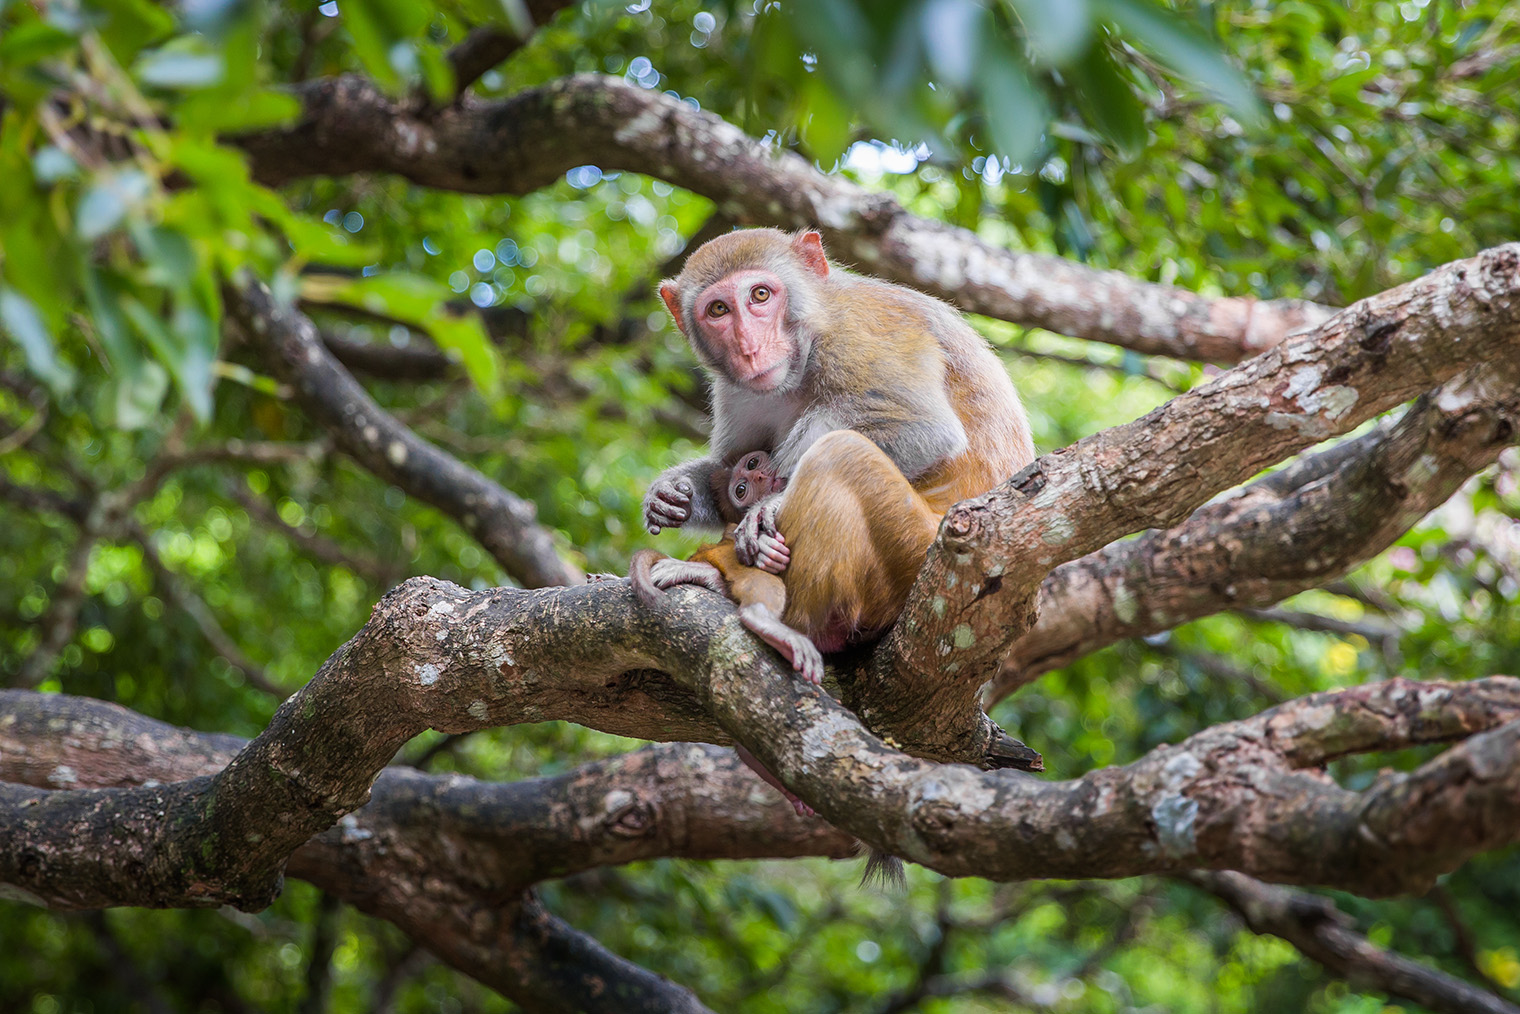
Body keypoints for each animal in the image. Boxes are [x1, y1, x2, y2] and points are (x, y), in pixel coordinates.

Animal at [641, 231, 1033, 574]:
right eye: (719, 309)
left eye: (760, 295)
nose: (749, 348)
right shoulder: (734, 390)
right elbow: (727, 464)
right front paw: (675, 493)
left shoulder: (857, 338)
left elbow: (928, 430)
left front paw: (771, 504)